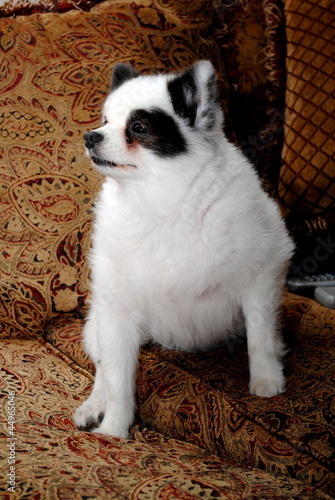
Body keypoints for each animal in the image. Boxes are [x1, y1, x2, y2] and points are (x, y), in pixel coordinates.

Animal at [75, 59, 296, 438]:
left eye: (138, 128)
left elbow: (260, 336)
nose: (91, 136)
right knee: (103, 367)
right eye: (104, 121)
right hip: (96, 324)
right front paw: (114, 432)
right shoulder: (116, 311)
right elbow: (118, 378)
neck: (164, 203)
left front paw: (267, 380)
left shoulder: (262, 276)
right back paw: (93, 406)